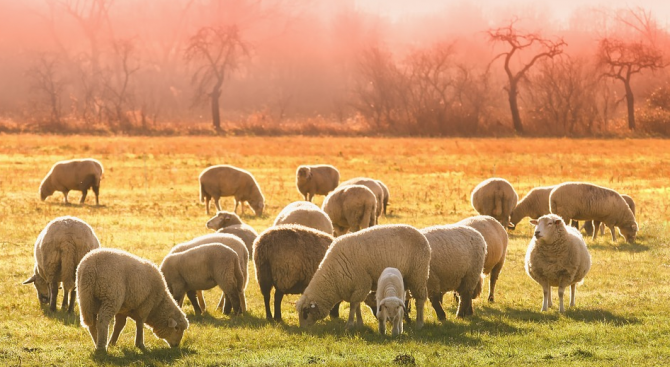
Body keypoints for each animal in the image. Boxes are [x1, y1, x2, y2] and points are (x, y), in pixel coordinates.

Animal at [298, 224, 434, 330]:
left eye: (305, 313)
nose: (302, 329)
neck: (333, 276)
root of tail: (421, 235)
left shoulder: (362, 283)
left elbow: (353, 305)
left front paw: (349, 325)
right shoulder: (355, 287)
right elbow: (357, 305)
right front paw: (359, 323)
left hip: (418, 274)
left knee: (420, 300)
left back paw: (419, 324)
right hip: (405, 279)